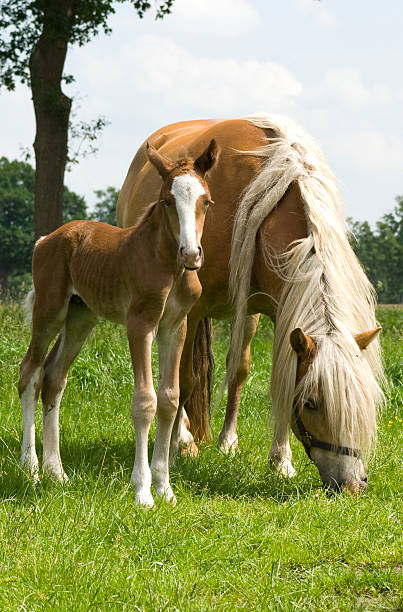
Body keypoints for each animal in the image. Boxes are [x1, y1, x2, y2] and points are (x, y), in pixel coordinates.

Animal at [18, 140, 221, 506]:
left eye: (206, 201)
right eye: (168, 201)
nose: (191, 254)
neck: (168, 265)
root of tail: (46, 238)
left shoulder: (175, 327)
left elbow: (170, 399)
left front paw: (165, 488)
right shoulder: (139, 323)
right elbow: (145, 401)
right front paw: (142, 492)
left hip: (81, 317)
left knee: (54, 377)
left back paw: (57, 472)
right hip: (49, 312)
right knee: (30, 372)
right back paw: (32, 469)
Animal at [117, 115, 386, 494]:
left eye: (358, 398)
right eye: (312, 403)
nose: (352, 484)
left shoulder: (279, 312)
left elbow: (274, 375)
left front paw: (281, 461)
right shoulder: (191, 311)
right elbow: (183, 381)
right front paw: (175, 449)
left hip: (247, 315)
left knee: (237, 368)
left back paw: (227, 440)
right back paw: (184, 437)